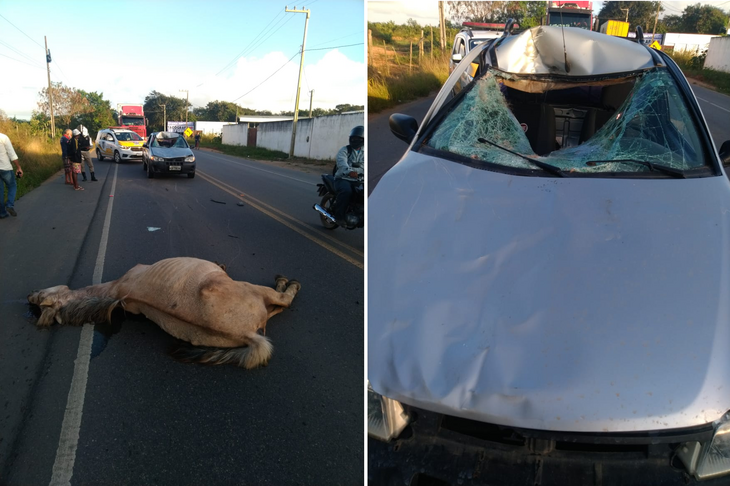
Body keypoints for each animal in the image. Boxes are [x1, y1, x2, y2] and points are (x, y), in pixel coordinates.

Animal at [25, 258, 298, 368]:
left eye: (40, 300)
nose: (30, 295)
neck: (117, 289)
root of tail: (246, 335)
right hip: (253, 291)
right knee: (282, 301)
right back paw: (287, 283)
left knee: (276, 309)